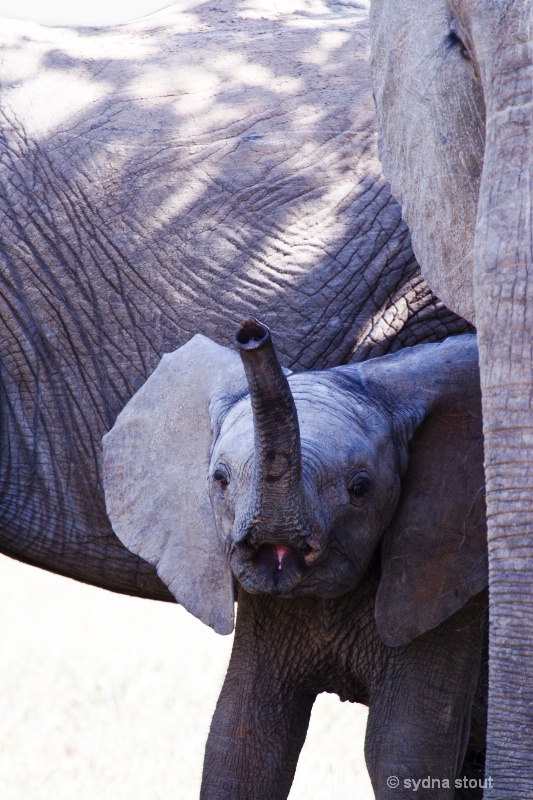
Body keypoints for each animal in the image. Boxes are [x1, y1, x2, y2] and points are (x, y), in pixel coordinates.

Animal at [103, 320, 486, 800]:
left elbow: (406, 750)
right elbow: (243, 744)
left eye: (360, 489)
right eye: (220, 479)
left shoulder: (440, 579)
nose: (251, 334)